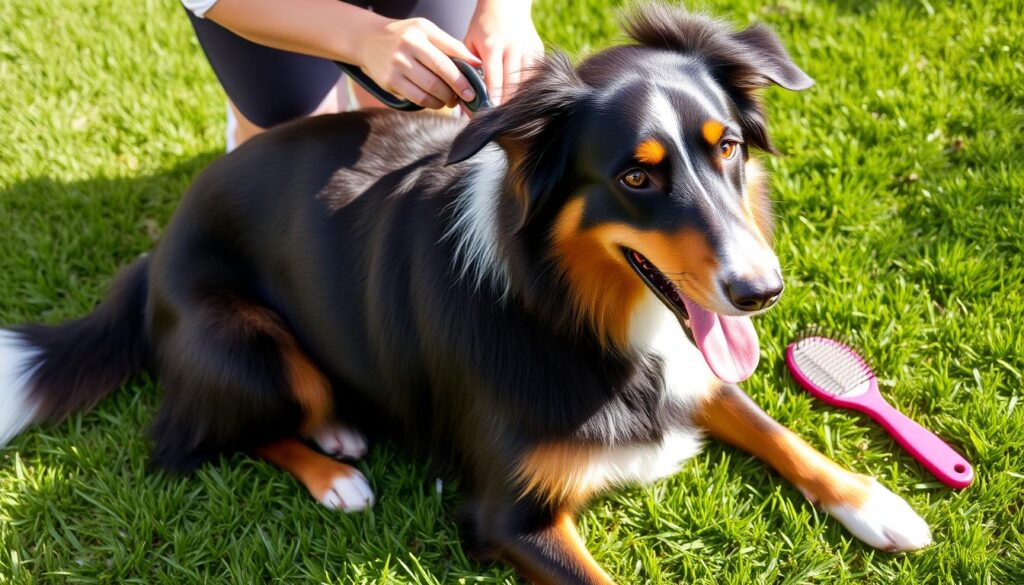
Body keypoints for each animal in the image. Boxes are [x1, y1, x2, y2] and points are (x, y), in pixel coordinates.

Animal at [0, 3, 929, 581]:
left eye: (727, 145)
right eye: (635, 176)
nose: (761, 291)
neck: (564, 306)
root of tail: (153, 256)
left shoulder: (690, 368)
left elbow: (774, 425)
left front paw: (878, 502)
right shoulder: (508, 514)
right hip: (245, 342)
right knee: (192, 436)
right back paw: (334, 465)